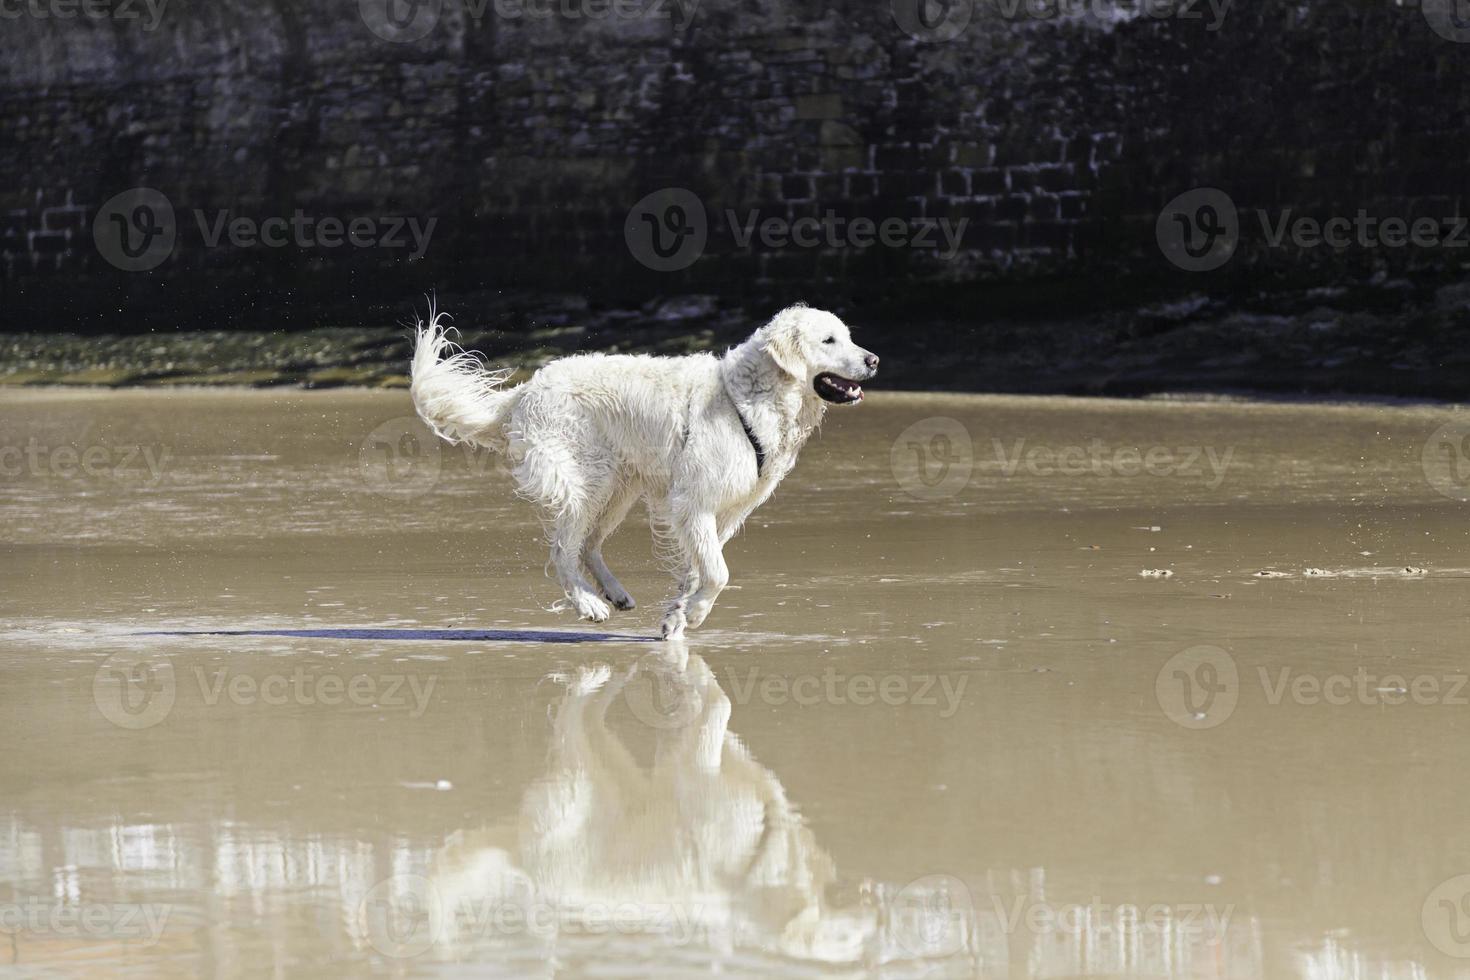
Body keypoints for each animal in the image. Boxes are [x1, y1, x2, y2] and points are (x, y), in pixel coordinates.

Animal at [408, 302, 876, 640]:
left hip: (620, 488)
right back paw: (589, 604)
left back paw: (614, 594)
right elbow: (718, 572)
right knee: (562, 550)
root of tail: (526, 389)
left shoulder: (724, 513)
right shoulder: (693, 503)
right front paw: (696, 614)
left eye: (850, 336)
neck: (747, 398)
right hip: (589, 480)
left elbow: (698, 569)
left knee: (587, 545)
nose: (873, 359)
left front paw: (677, 617)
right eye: (829, 340)